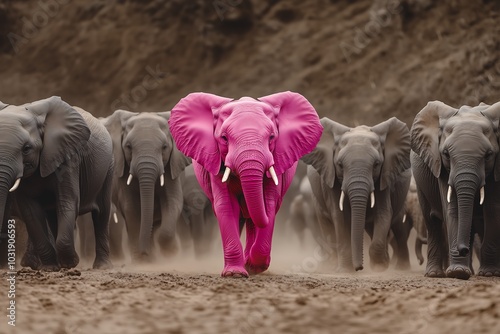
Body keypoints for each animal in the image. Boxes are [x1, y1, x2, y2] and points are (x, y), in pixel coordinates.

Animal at [0, 96, 112, 268]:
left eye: (26, 149)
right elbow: (31, 211)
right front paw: (50, 268)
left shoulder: (69, 158)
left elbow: (68, 200)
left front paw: (71, 263)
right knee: (53, 216)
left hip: (108, 168)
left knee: (101, 214)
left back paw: (102, 266)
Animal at [104, 109, 190, 260]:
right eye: (128, 147)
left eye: (164, 147)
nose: (144, 252)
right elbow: (131, 207)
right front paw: (142, 260)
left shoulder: (172, 167)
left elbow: (172, 201)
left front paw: (171, 254)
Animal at [170, 91, 322, 276]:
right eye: (224, 138)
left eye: (272, 137)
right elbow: (226, 206)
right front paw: (234, 273)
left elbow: (268, 203)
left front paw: (254, 267)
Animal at [302, 116, 412, 270]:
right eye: (340, 165)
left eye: (376, 164)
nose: (359, 268)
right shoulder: (331, 178)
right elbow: (340, 216)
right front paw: (346, 271)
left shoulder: (385, 176)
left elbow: (383, 213)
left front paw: (379, 268)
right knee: (327, 226)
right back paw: (330, 266)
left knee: (399, 229)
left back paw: (399, 267)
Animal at [410, 100, 500, 278]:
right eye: (446, 154)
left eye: (488, 155)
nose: (463, 249)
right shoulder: (441, 167)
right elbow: (453, 208)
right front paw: (458, 272)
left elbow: (493, 209)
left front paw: (489, 274)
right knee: (432, 221)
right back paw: (434, 274)